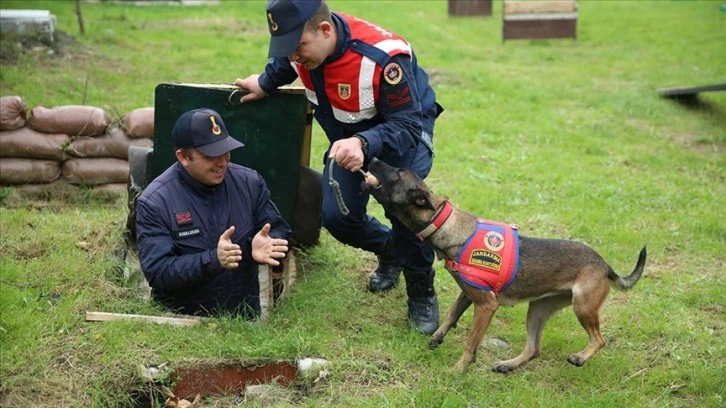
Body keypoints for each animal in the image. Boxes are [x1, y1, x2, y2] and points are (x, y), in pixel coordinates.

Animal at [364, 157, 648, 372]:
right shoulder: (468, 294)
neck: (446, 225)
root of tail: (605, 265)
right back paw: (508, 365)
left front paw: (459, 369)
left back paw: (579, 357)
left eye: (398, 173)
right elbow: (450, 316)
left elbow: (470, 343)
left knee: (599, 339)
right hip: (538, 309)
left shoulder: (486, 305)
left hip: (583, 306)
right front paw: (437, 338)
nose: (374, 157)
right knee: (534, 348)